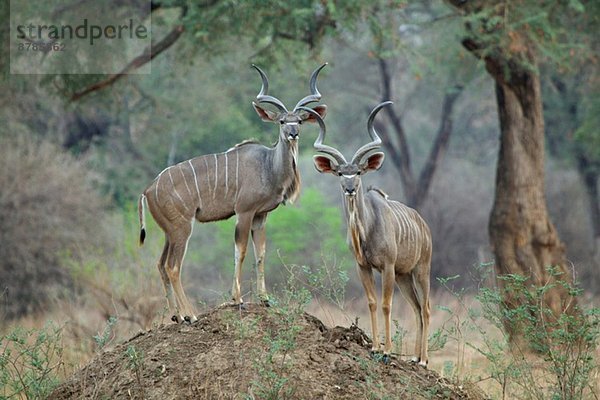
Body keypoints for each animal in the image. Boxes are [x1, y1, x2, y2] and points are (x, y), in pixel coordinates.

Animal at [139, 65, 328, 322]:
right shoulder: (244, 212)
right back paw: (191, 316)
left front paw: (264, 299)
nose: (293, 134)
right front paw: (237, 299)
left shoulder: (260, 216)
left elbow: (261, 253)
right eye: (281, 121)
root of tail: (148, 190)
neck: (268, 166)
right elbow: (241, 251)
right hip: (182, 228)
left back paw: (176, 316)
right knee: (172, 266)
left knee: (160, 265)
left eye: (298, 120)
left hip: (170, 231)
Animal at [304, 101, 432, 366]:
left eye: (359, 172)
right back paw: (414, 357)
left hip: (421, 269)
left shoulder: (387, 266)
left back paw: (424, 360)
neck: (366, 229)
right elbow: (372, 303)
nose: (350, 189)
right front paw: (374, 347)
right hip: (404, 275)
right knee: (416, 308)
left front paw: (387, 351)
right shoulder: (362, 266)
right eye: (340, 173)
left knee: (425, 308)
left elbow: (385, 304)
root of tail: (423, 224)